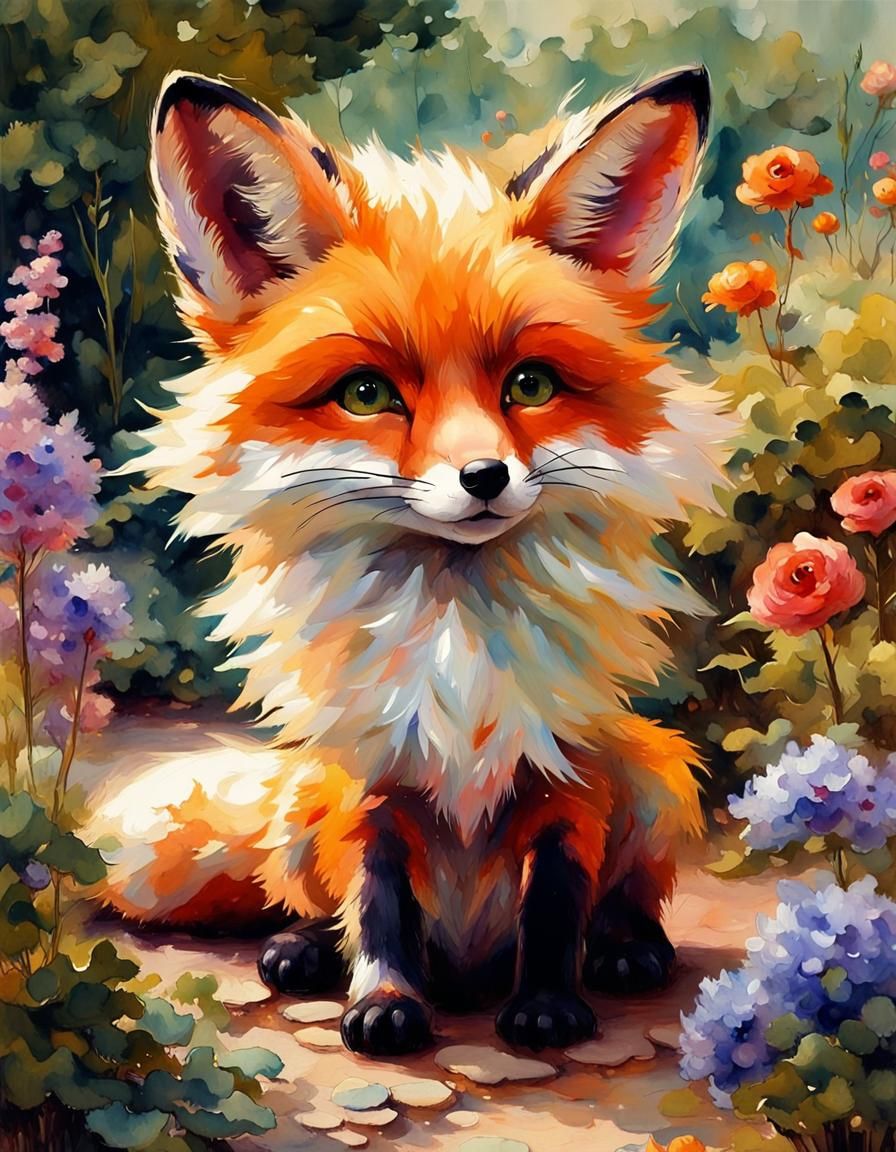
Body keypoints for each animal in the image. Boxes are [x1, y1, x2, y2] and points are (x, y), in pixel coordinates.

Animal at [93, 64, 730, 1057]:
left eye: (530, 385)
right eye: (366, 394)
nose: (484, 477)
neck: (455, 648)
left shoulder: (569, 782)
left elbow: (555, 907)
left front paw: (548, 1008)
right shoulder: (368, 789)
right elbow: (377, 907)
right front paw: (384, 1003)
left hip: (656, 776)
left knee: (625, 898)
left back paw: (628, 949)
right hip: (301, 802)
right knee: (309, 900)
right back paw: (302, 952)